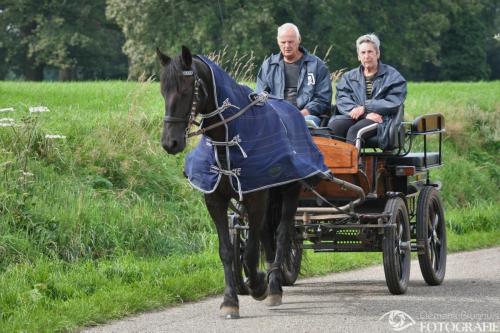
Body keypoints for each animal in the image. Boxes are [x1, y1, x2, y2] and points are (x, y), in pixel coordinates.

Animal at [158, 45, 310, 318]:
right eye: (163, 90)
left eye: (185, 89)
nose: (169, 142)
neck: (226, 141)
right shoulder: (215, 199)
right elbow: (227, 251)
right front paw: (230, 299)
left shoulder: (256, 197)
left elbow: (250, 252)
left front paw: (258, 285)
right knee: (266, 234)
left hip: (289, 191)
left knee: (282, 234)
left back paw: (272, 286)